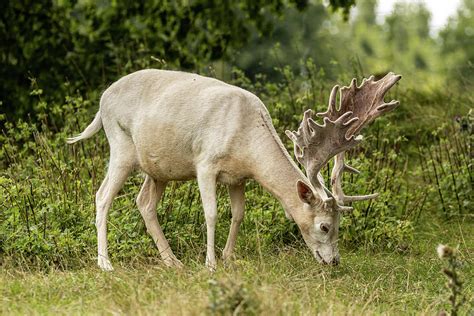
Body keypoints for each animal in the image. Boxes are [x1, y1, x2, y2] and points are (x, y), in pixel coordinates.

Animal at [67, 68, 400, 270]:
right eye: (324, 226)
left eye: (339, 224)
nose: (334, 261)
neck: (245, 139)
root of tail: (102, 100)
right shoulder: (205, 163)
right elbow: (211, 213)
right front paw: (210, 264)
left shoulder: (238, 177)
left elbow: (238, 213)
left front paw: (229, 257)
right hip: (120, 145)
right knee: (102, 196)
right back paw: (105, 263)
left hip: (158, 167)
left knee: (144, 202)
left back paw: (172, 261)